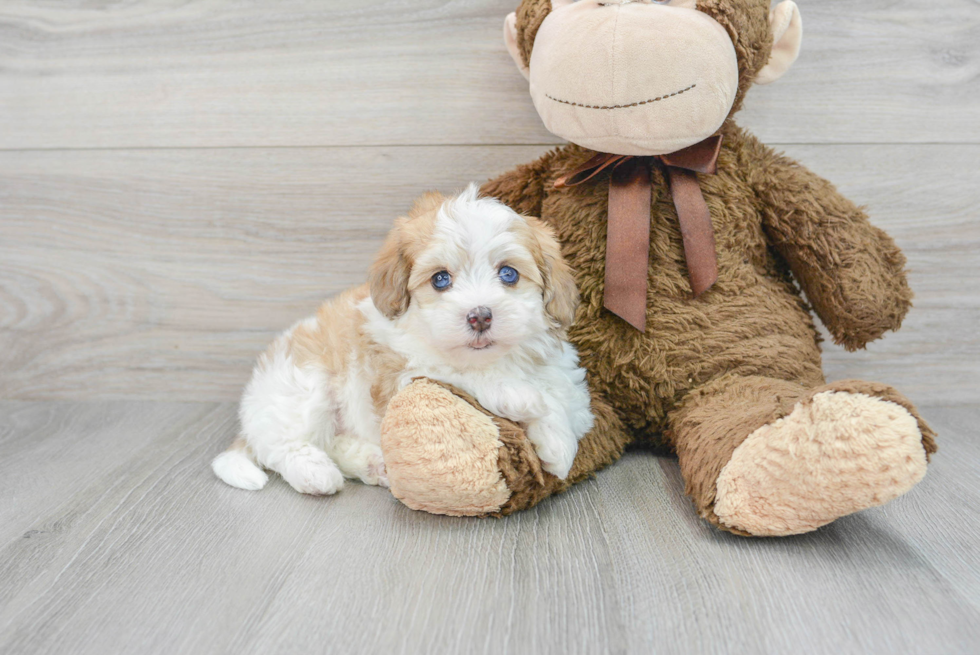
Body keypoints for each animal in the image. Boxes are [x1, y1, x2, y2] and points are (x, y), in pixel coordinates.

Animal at [212, 184, 592, 498]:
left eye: (509, 274)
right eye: (440, 279)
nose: (480, 316)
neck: (498, 359)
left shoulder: (565, 376)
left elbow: (565, 400)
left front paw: (558, 442)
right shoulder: (403, 372)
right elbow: (457, 370)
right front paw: (518, 395)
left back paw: (372, 463)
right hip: (302, 387)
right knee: (280, 444)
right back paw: (315, 472)